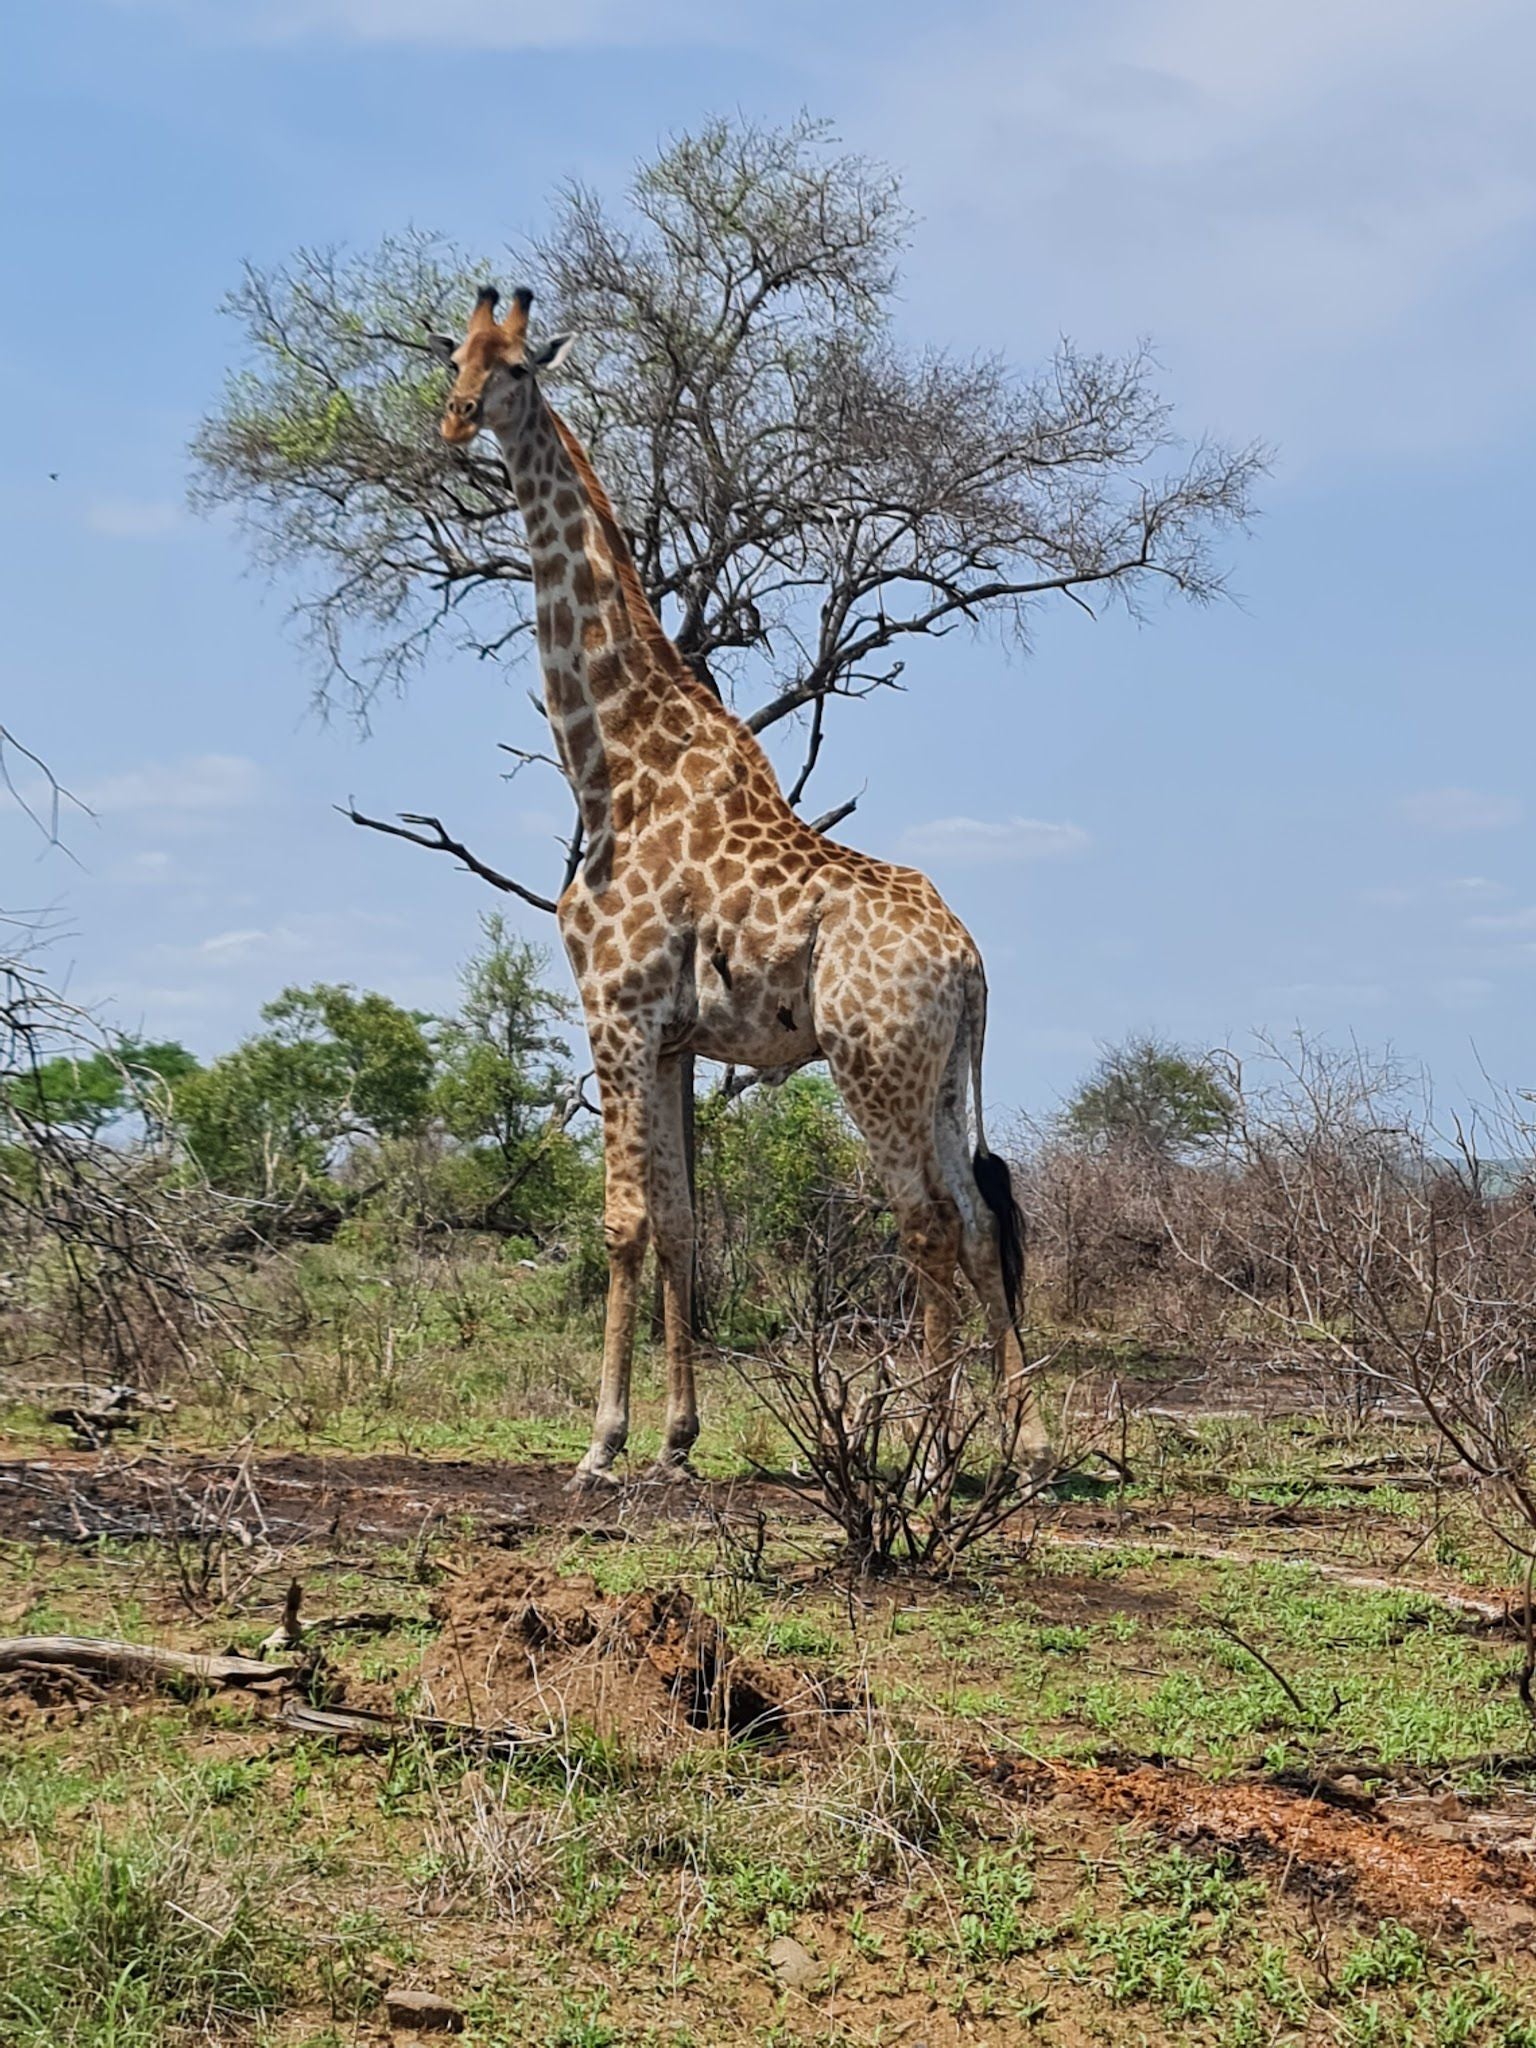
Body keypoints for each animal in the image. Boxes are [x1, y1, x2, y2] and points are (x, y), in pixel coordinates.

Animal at [430, 284, 1056, 1490]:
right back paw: (1029, 1447)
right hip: (941, 1077)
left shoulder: (616, 1010)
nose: (456, 420)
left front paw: (601, 1445)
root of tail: (972, 962)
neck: (612, 763)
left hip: (872, 1066)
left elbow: (623, 1220)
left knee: (924, 1222)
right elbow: (682, 1223)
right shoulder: (676, 1037)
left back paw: (927, 1460)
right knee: (977, 1213)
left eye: (520, 365)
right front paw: (676, 1441)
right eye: (454, 355)